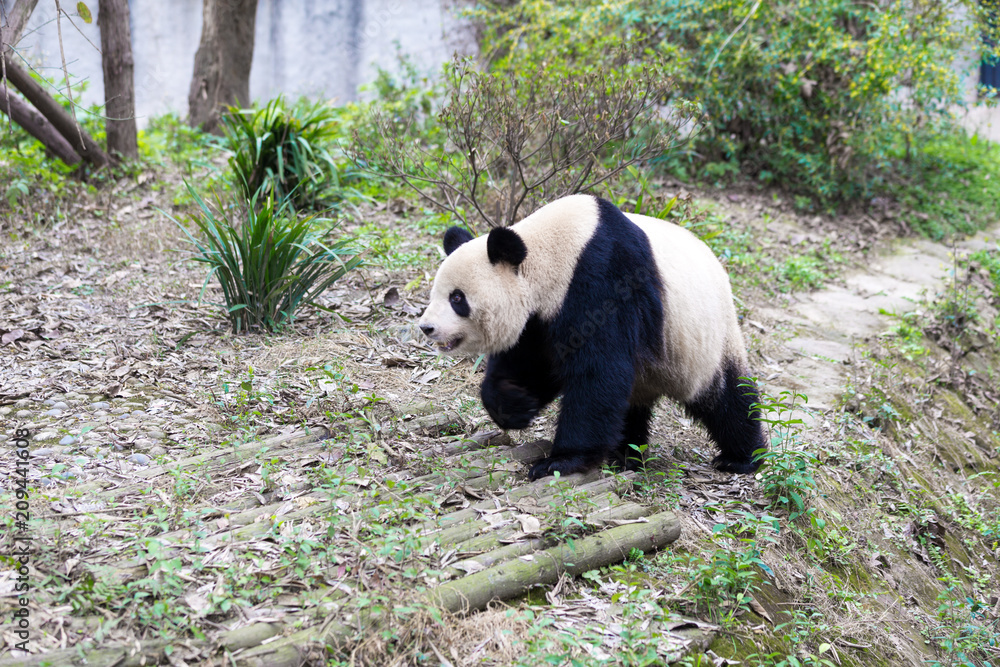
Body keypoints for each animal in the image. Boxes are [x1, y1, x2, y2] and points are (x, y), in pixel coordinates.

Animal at [414, 193, 764, 480]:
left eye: (457, 298)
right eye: (435, 294)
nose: (426, 327)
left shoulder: (605, 278)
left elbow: (599, 372)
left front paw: (560, 461)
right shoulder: (540, 319)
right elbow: (531, 363)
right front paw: (516, 405)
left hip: (703, 338)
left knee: (726, 397)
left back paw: (741, 458)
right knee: (632, 403)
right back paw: (626, 454)